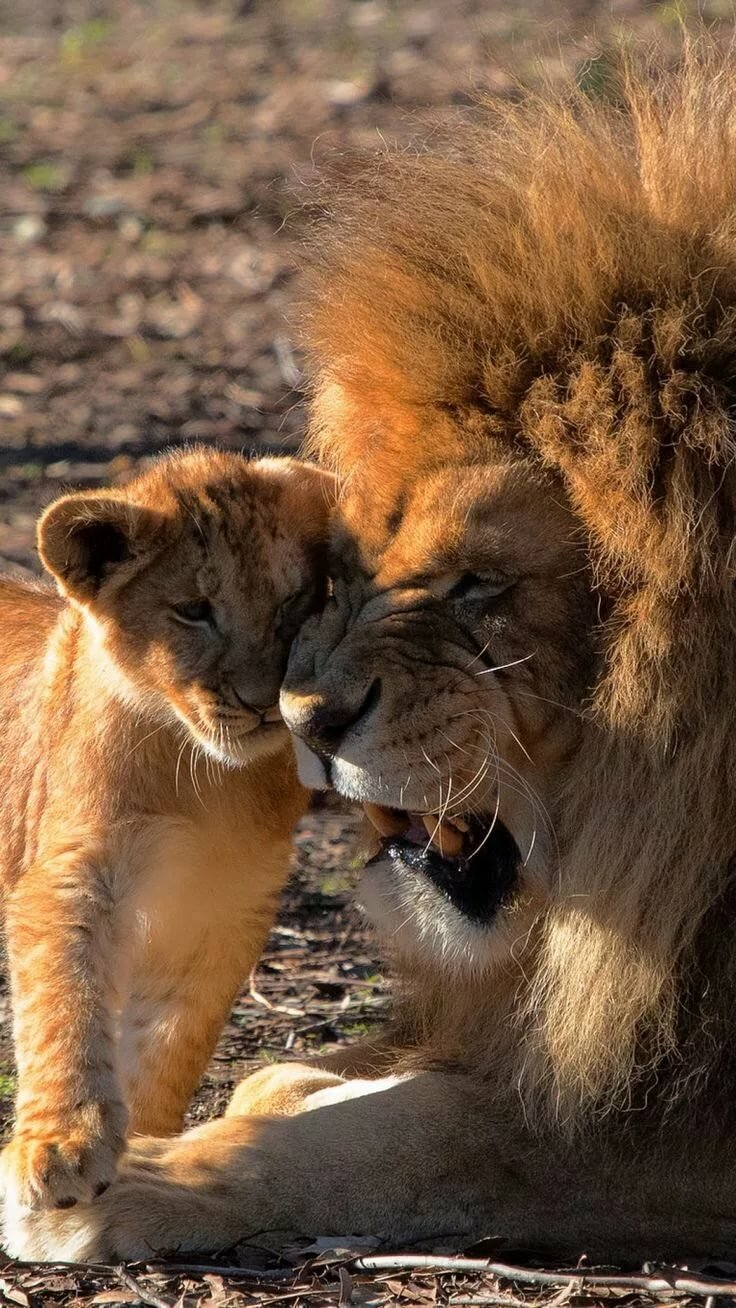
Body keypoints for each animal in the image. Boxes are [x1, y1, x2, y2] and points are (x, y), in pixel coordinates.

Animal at [0, 448, 334, 1217]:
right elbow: (64, 1005)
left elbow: (173, 1042)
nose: (262, 701)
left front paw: (148, 1145)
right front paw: (59, 1145)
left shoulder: (229, 907)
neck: (203, 780)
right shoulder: (69, 875)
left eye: (295, 604)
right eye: (192, 611)